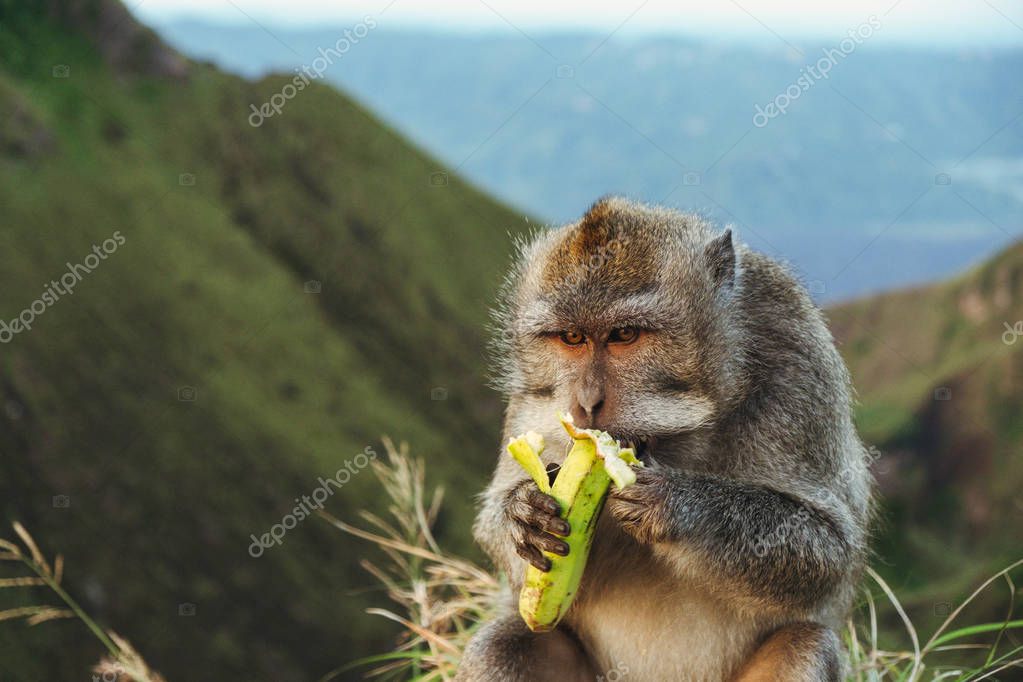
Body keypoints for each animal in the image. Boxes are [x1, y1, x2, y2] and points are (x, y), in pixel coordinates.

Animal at [456, 197, 873, 682]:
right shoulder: (530, 394)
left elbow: (829, 548)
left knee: (803, 645)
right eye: (572, 337)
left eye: (624, 335)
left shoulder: (796, 351)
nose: (586, 401)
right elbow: (493, 528)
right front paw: (523, 513)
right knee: (499, 646)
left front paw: (676, 504)